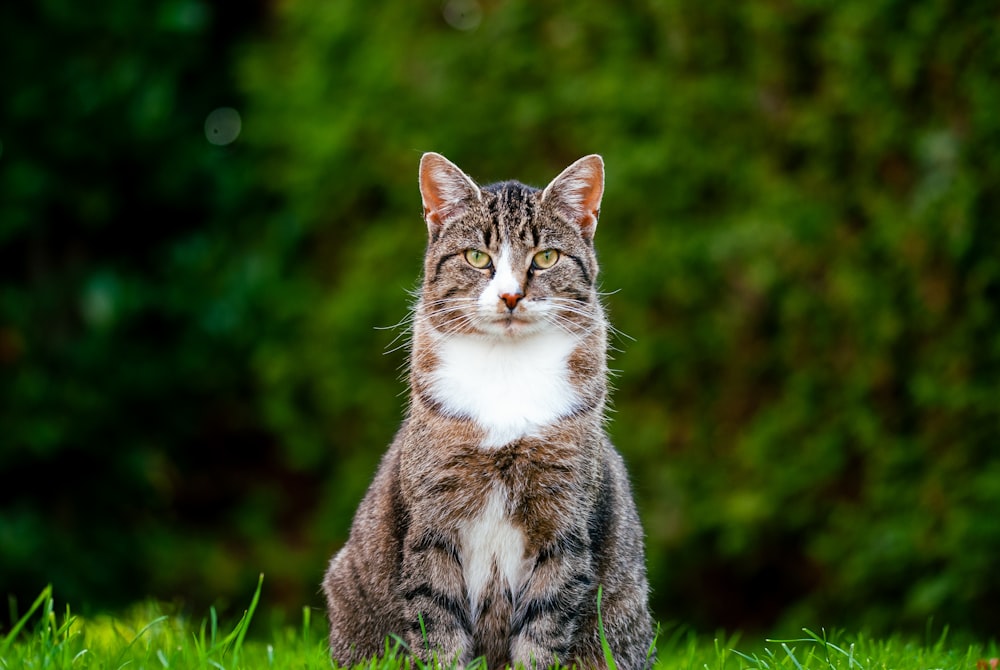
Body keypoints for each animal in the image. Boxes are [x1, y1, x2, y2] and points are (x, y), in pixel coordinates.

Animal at [322, 154, 656, 670]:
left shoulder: (563, 525)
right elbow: (437, 626)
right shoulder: (434, 522)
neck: (506, 370)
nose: (511, 295)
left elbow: (543, 629)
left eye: (546, 257)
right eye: (478, 258)